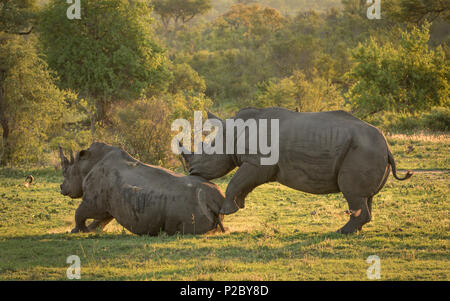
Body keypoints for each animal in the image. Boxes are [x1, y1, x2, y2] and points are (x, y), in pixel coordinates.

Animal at [59, 142, 225, 236]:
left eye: (66, 173)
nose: (61, 188)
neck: (86, 163)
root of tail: (218, 201)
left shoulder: (93, 200)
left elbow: (80, 213)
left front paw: (76, 231)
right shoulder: (107, 203)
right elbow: (101, 220)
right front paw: (91, 230)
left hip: (190, 204)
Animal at [181, 106, 414, 233]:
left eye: (208, 150)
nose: (192, 172)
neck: (233, 133)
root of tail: (387, 147)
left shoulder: (258, 161)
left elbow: (235, 182)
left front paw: (227, 210)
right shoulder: (258, 164)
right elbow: (242, 184)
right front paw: (240, 205)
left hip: (364, 149)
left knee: (351, 192)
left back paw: (342, 232)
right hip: (368, 149)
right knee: (365, 196)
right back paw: (354, 230)